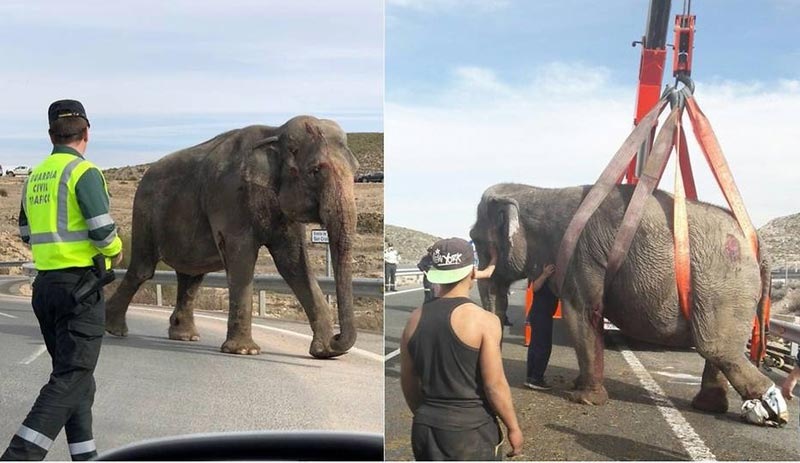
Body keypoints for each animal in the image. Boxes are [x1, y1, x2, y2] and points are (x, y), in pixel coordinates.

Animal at [105, 115, 360, 358]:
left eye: (356, 170)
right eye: (315, 171)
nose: (337, 338)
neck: (276, 132)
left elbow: (294, 265)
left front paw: (325, 353)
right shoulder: (229, 196)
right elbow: (242, 257)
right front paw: (245, 351)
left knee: (191, 276)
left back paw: (184, 336)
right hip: (144, 212)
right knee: (144, 269)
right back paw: (114, 329)